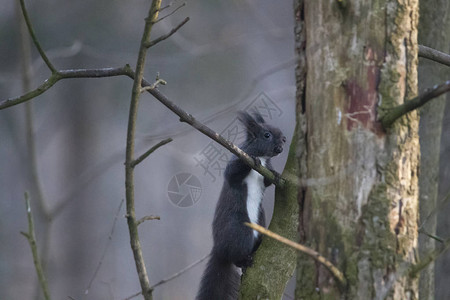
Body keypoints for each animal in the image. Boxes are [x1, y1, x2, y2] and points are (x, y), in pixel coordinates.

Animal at [196, 112, 284, 300]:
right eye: (267, 135)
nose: (284, 142)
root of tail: (219, 249)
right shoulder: (235, 163)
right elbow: (233, 172)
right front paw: (253, 160)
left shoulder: (266, 171)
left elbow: (267, 180)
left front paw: (275, 174)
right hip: (240, 232)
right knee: (236, 256)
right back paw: (245, 261)